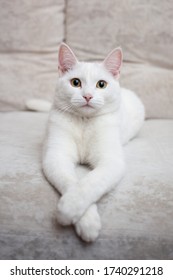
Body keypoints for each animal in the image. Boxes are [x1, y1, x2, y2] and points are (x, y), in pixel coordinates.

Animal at [33, 42, 145, 242]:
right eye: (75, 82)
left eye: (101, 84)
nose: (87, 96)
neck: (84, 123)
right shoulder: (56, 157)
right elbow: (71, 182)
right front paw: (85, 219)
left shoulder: (111, 162)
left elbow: (90, 183)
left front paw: (69, 209)